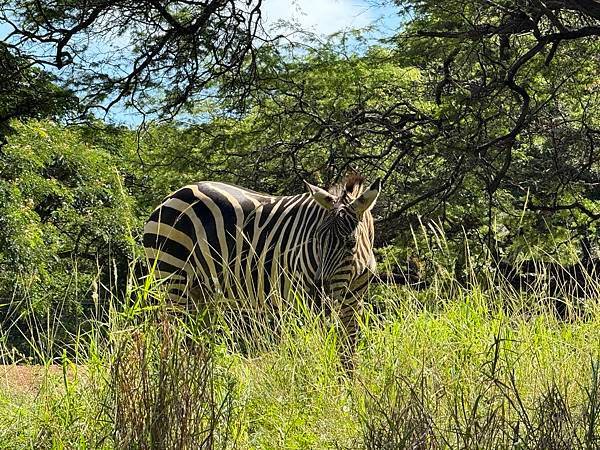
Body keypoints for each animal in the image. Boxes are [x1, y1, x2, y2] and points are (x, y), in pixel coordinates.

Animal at [142, 174, 380, 368]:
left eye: (350, 244)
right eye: (315, 239)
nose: (319, 297)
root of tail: (172, 195)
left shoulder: (353, 301)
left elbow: (347, 354)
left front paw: (348, 390)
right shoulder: (297, 295)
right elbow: (308, 351)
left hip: (201, 293)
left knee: (193, 343)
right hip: (172, 278)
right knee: (171, 339)